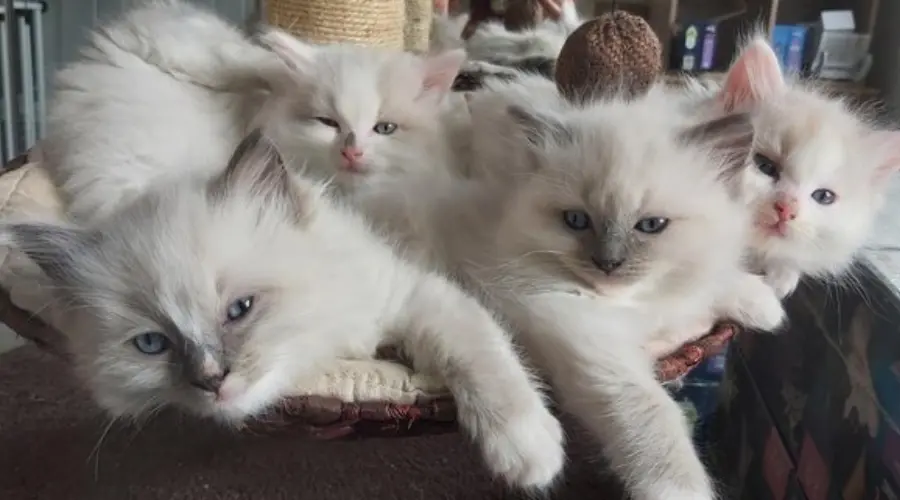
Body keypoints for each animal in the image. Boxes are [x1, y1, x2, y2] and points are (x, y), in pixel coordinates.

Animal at [3, 130, 568, 492]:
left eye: (240, 309)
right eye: (151, 344)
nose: (212, 379)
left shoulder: (413, 293)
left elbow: (480, 354)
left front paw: (528, 451)